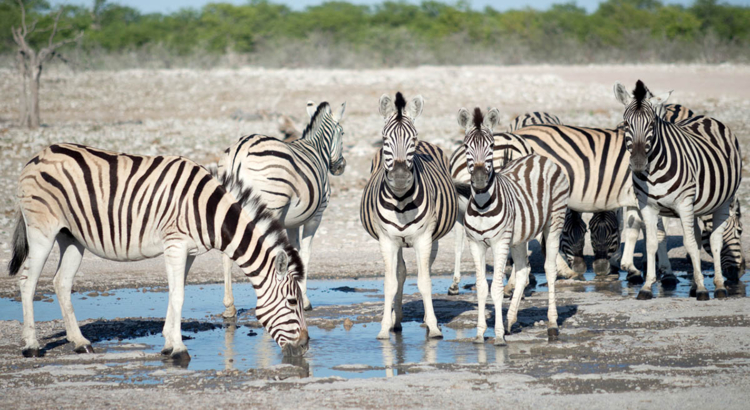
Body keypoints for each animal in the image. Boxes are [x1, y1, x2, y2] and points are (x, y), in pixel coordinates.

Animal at [8, 143, 308, 358]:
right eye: (293, 302)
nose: (306, 346)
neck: (208, 211)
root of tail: (37, 156)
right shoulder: (174, 244)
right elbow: (178, 296)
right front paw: (179, 350)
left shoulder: (188, 252)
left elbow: (176, 293)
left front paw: (168, 343)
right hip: (42, 231)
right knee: (27, 281)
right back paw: (31, 346)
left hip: (71, 236)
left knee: (61, 282)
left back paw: (80, 342)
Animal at [217, 101, 346, 312]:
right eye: (342, 132)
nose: (341, 166)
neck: (317, 149)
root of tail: (240, 151)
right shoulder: (315, 217)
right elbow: (305, 254)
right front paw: (305, 300)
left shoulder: (293, 221)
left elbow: (294, 252)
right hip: (270, 207)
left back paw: (230, 306)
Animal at [362, 93, 462, 340]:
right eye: (384, 138)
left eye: (412, 139)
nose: (399, 177)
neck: (400, 201)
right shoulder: (387, 240)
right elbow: (390, 283)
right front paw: (384, 328)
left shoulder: (424, 239)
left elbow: (425, 282)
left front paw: (434, 327)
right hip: (397, 242)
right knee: (400, 273)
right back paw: (395, 321)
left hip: (433, 238)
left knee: (423, 269)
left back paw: (423, 320)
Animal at [458, 107, 568, 344]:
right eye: (466, 146)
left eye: (491, 146)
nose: (479, 180)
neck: (482, 205)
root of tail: (539, 157)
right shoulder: (475, 244)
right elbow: (482, 287)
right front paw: (480, 333)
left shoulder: (500, 242)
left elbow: (497, 288)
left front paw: (498, 335)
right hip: (519, 236)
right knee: (523, 271)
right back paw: (510, 321)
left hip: (554, 222)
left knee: (550, 269)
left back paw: (552, 325)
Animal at [616, 80, 748, 300]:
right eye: (627, 124)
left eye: (651, 125)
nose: (739, 272)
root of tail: (707, 118)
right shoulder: (648, 205)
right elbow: (653, 241)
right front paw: (647, 286)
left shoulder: (684, 204)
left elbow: (691, 243)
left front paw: (701, 288)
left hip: (722, 201)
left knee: (715, 241)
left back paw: (719, 287)